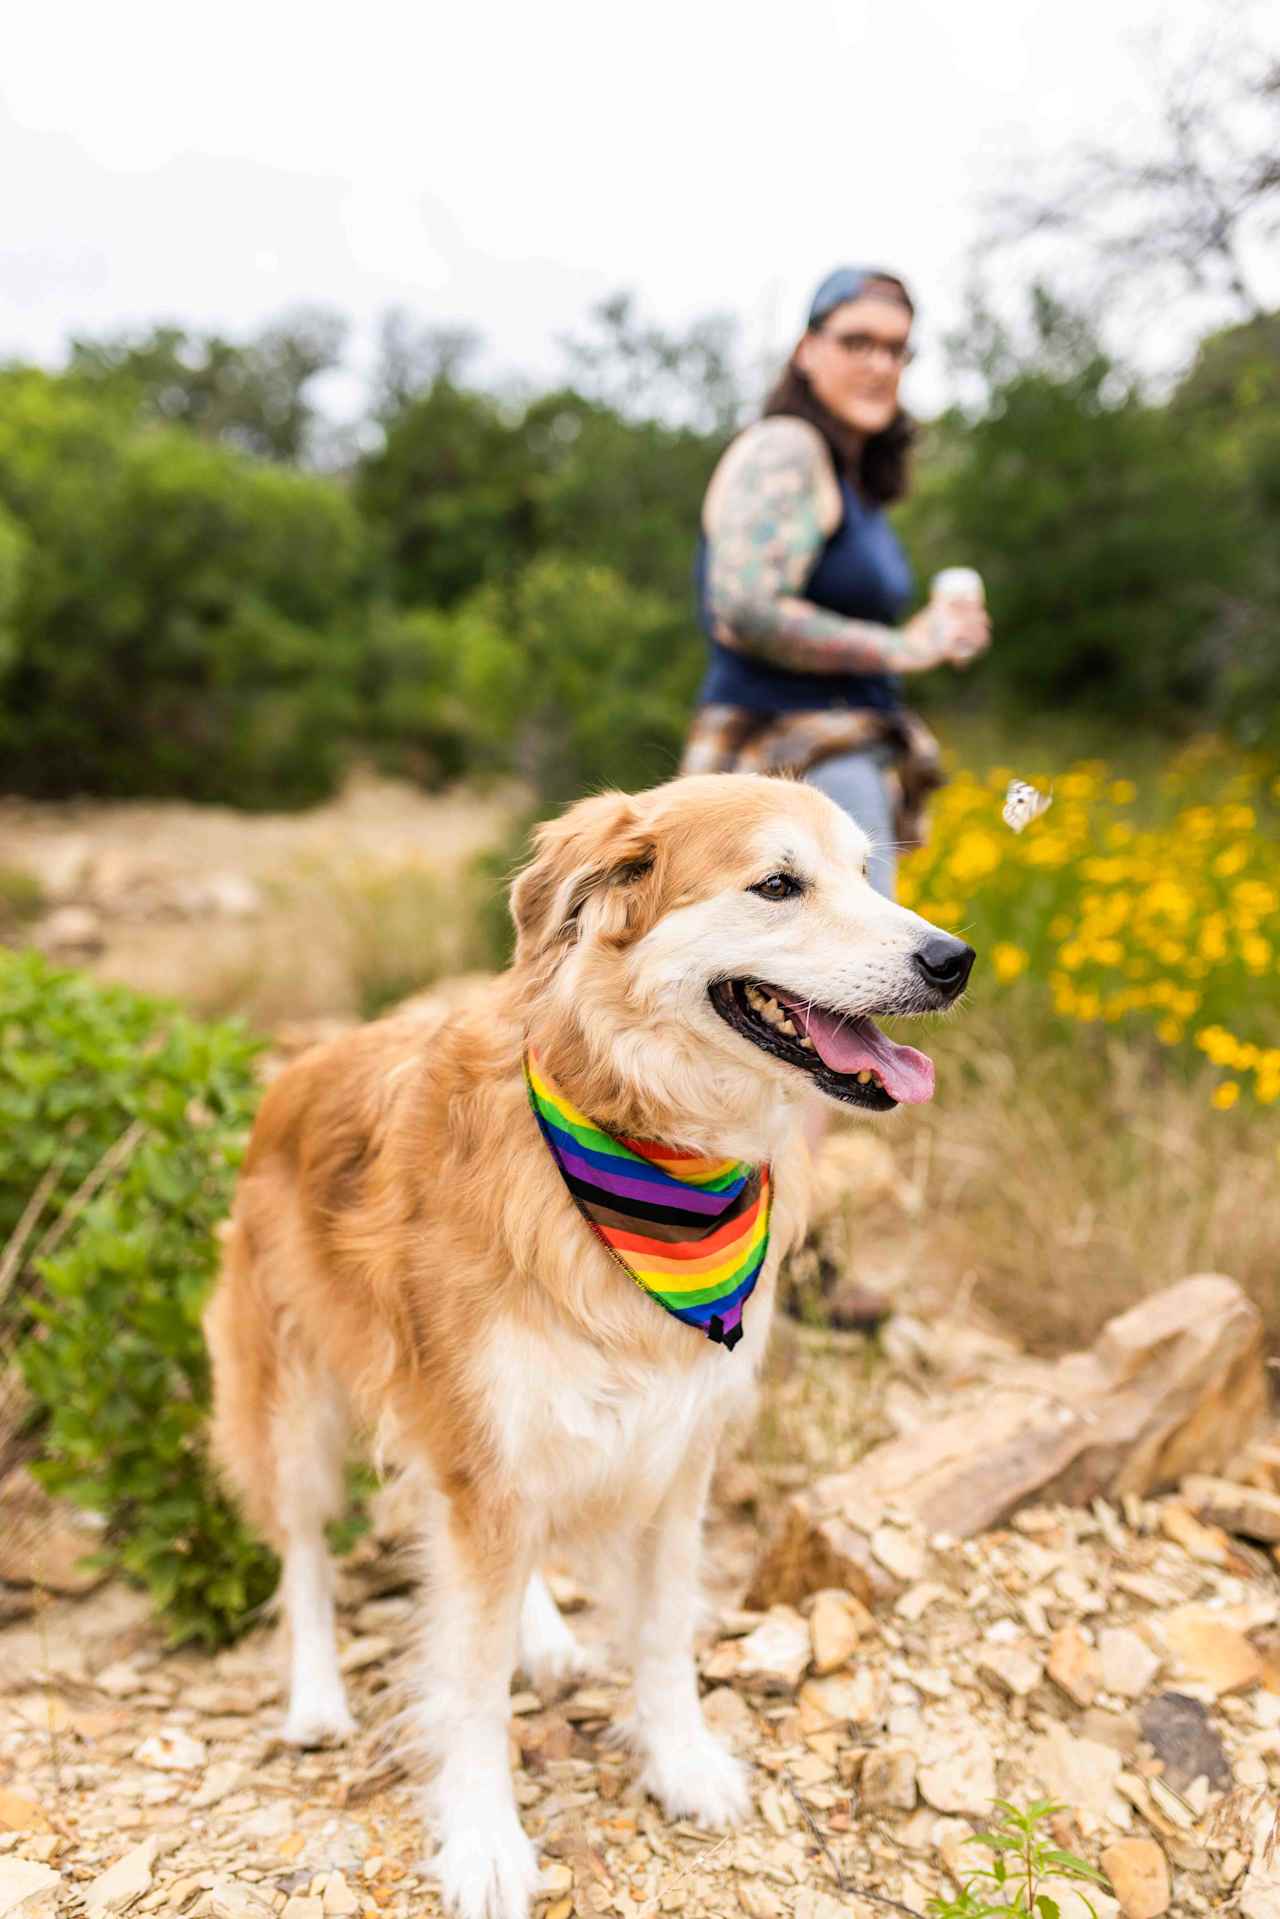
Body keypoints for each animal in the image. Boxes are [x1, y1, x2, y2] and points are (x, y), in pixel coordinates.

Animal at [205, 771, 974, 1919]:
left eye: (864, 872)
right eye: (777, 884)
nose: (953, 959)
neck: (646, 1140)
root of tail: (295, 1073)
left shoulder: (672, 1447)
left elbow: (660, 1635)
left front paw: (680, 1760)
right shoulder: (483, 1451)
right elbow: (469, 1681)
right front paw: (484, 1840)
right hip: (295, 1404)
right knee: (302, 1553)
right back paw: (314, 1696)